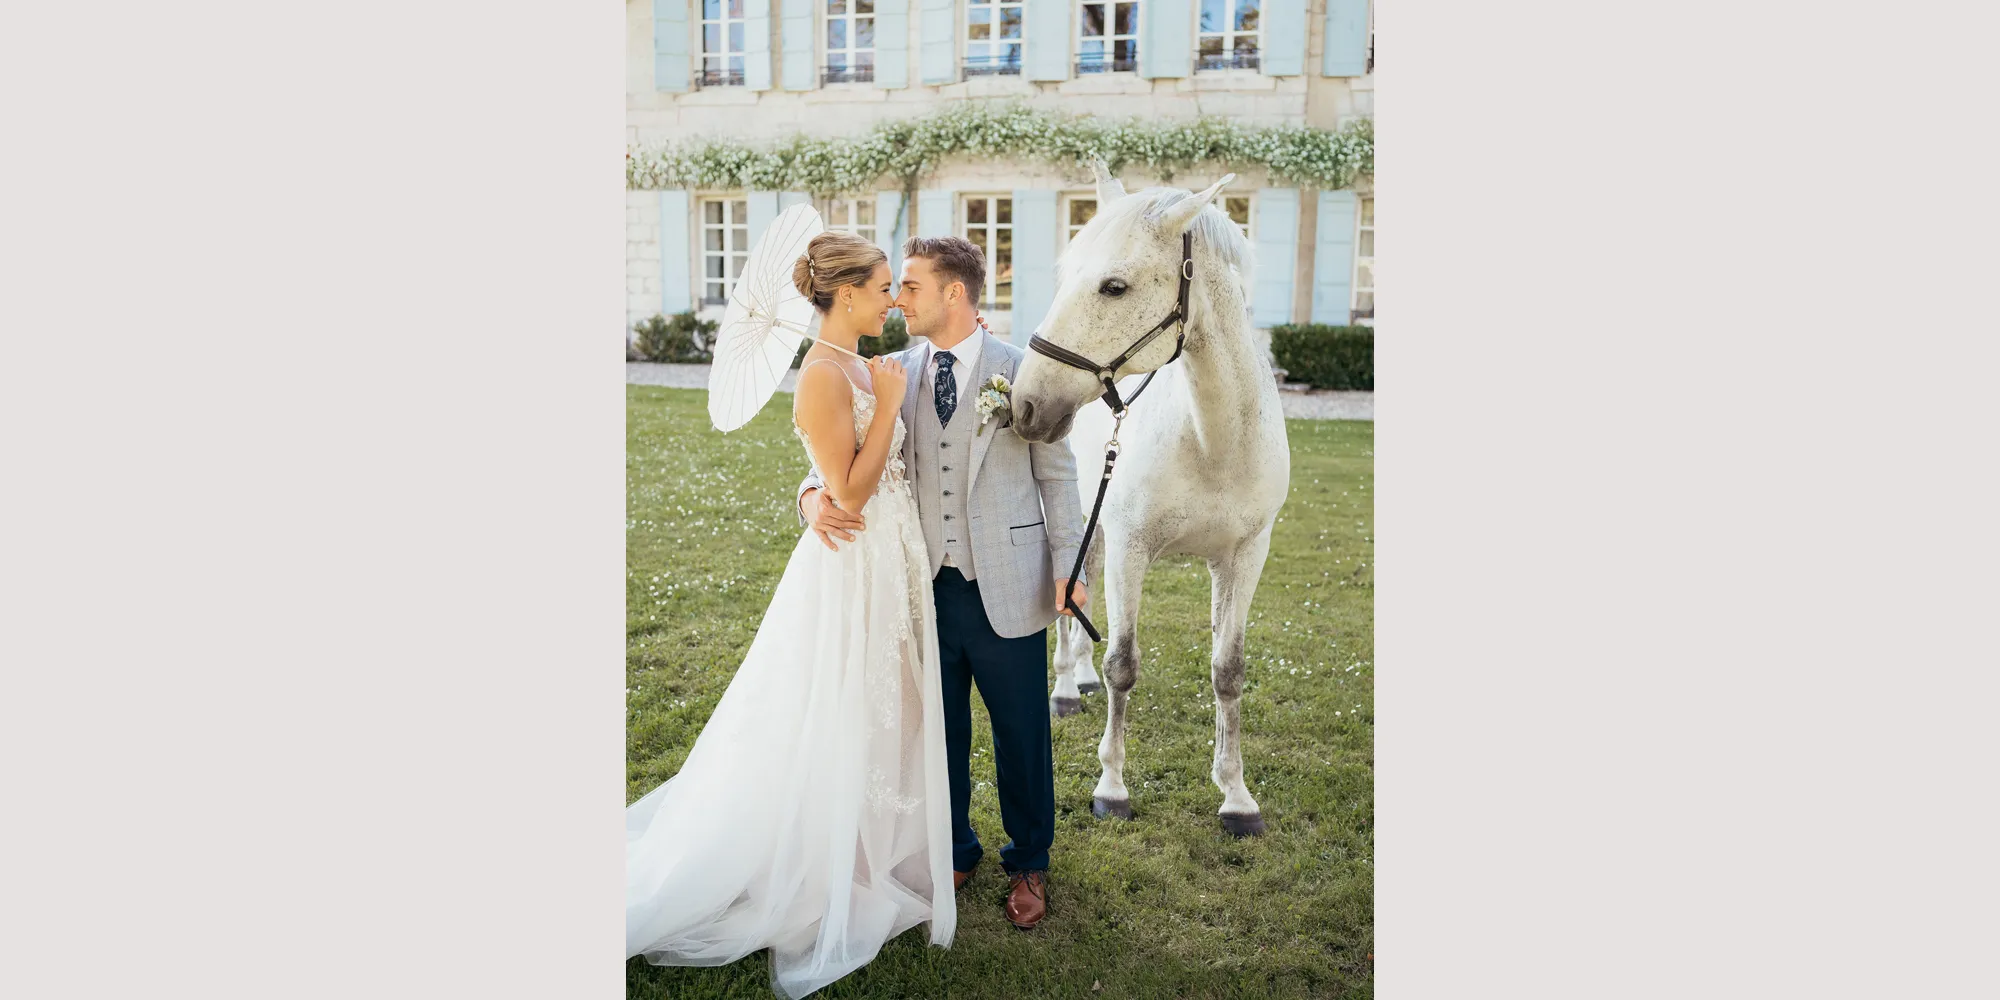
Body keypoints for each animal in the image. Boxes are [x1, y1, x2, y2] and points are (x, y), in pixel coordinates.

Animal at [1011, 163, 1291, 837]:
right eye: (1064, 273)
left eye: (1115, 286)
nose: (1025, 404)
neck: (1214, 440)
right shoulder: (1130, 550)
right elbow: (1124, 664)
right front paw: (1111, 787)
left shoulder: (1244, 556)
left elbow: (1228, 671)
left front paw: (1236, 795)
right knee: (1069, 606)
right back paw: (1066, 689)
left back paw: (1080, 681)